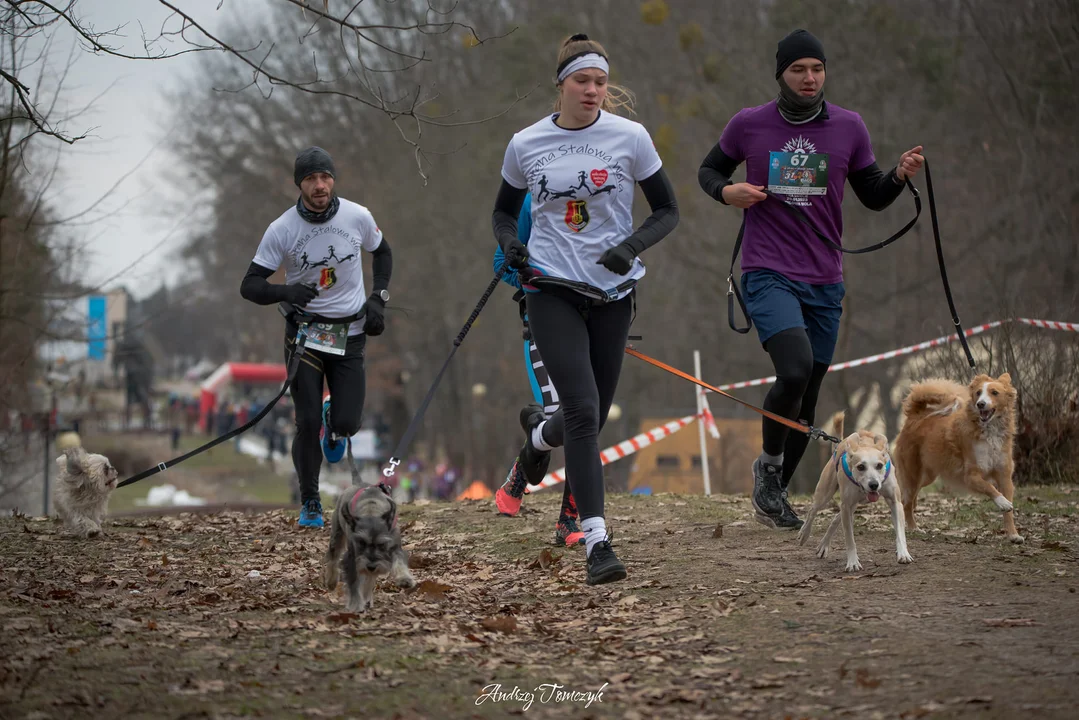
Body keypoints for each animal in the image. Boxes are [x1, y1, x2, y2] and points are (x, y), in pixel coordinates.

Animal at [317, 481, 414, 613]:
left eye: (382, 544)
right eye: (361, 543)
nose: (371, 566)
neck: (371, 511)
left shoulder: (395, 547)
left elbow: (399, 562)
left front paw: (405, 579)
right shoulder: (352, 558)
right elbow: (354, 582)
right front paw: (356, 604)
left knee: (369, 578)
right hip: (336, 536)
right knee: (334, 558)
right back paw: (331, 582)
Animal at [798, 418, 914, 569]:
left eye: (879, 465)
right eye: (861, 467)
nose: (874, 485)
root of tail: (839, 444)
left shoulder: (895, 502)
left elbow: (900, 533)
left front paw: (903, 554)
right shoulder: (846, 505)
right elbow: (849, 539)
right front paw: (853, 562)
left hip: (853, 504)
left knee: (835, 519)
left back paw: (824, 545)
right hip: (826, 494)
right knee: (813, 511)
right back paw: (804, 533)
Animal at [893, 375, 1018, 544]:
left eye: (994, 392)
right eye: (978, 393)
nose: (980, 404)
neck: (989, 431)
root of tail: (916, 415)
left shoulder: (1004, 475)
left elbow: (1008, 510)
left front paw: (1013, 535)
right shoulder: (971, 476)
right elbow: (990, 487)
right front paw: (1002, 502)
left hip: (926, 476)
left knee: (911, 498)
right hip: (913, 474)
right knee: (906, 502)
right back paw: (914, 528)